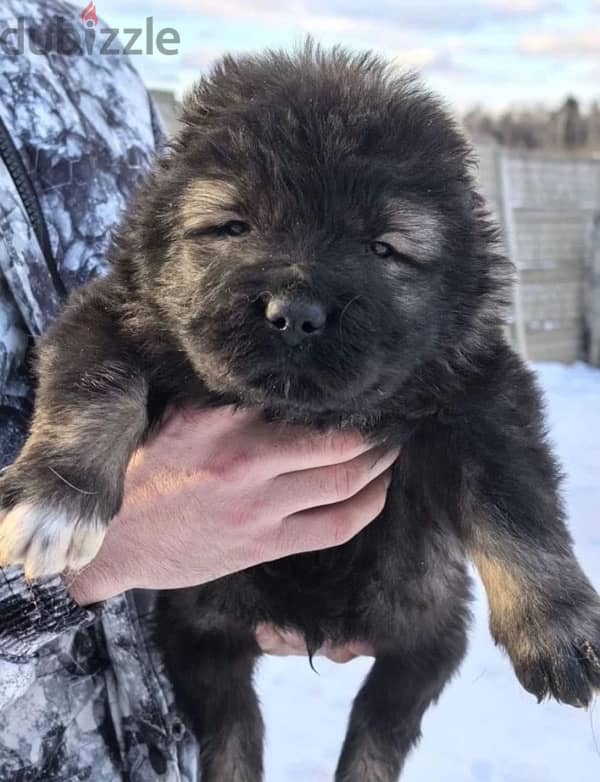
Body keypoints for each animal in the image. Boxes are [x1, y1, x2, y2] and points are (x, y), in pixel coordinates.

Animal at [1, 44, 600, 782]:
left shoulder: (480, 387)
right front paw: (57, 504)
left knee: (380, 723)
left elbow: (512, 500)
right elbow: (95, 387)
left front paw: (557, 628)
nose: (294, 314)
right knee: (234, 726)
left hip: (430, 626)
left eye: (382, 248)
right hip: (200, 628)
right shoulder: (111, 315)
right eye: (233, 227)